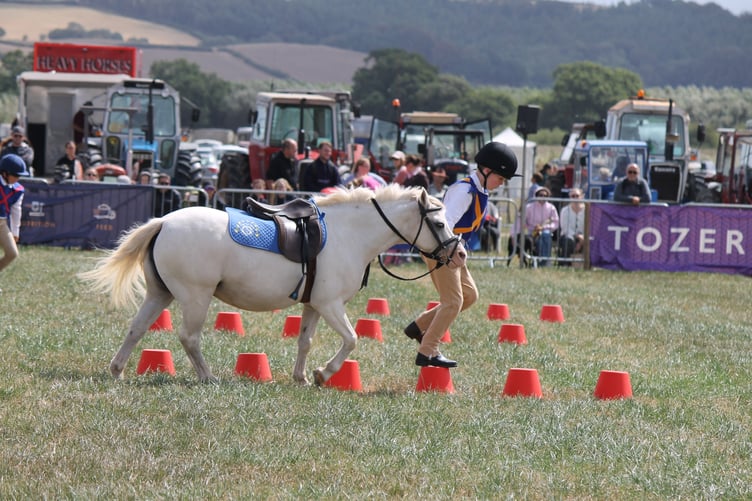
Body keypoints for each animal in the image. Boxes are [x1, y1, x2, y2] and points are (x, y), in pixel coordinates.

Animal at [79, 185, 464, 385]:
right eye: (439, 223)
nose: (458, 255)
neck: (349, 235)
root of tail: (164, 221)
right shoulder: (330, 305)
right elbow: (352, 339)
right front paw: (324, 373)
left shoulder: (314, 305)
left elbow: (305, 341)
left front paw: (302, 377)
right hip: (194, 296)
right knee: (189, 337)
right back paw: (208, 377)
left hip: (161, 293)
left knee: (137, 328)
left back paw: (117, 370)